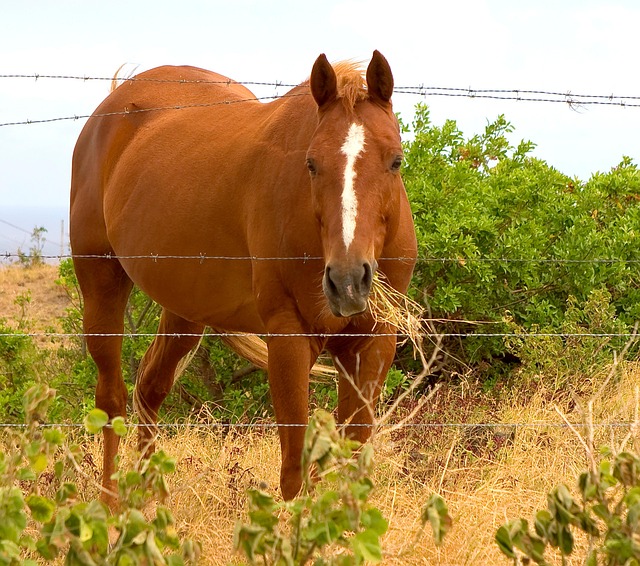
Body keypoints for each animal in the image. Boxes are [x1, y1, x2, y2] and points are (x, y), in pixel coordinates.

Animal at [70, 50, 417, 505]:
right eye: (311, 164)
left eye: (395, 160)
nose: (346, 282)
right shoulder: (288, 337)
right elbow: (294, 473)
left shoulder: (372, 341)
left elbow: (351, 456)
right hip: (101, 285)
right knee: (111, 398)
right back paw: (111, 506)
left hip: (185, 312)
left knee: (150, 387)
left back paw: (151, 503)